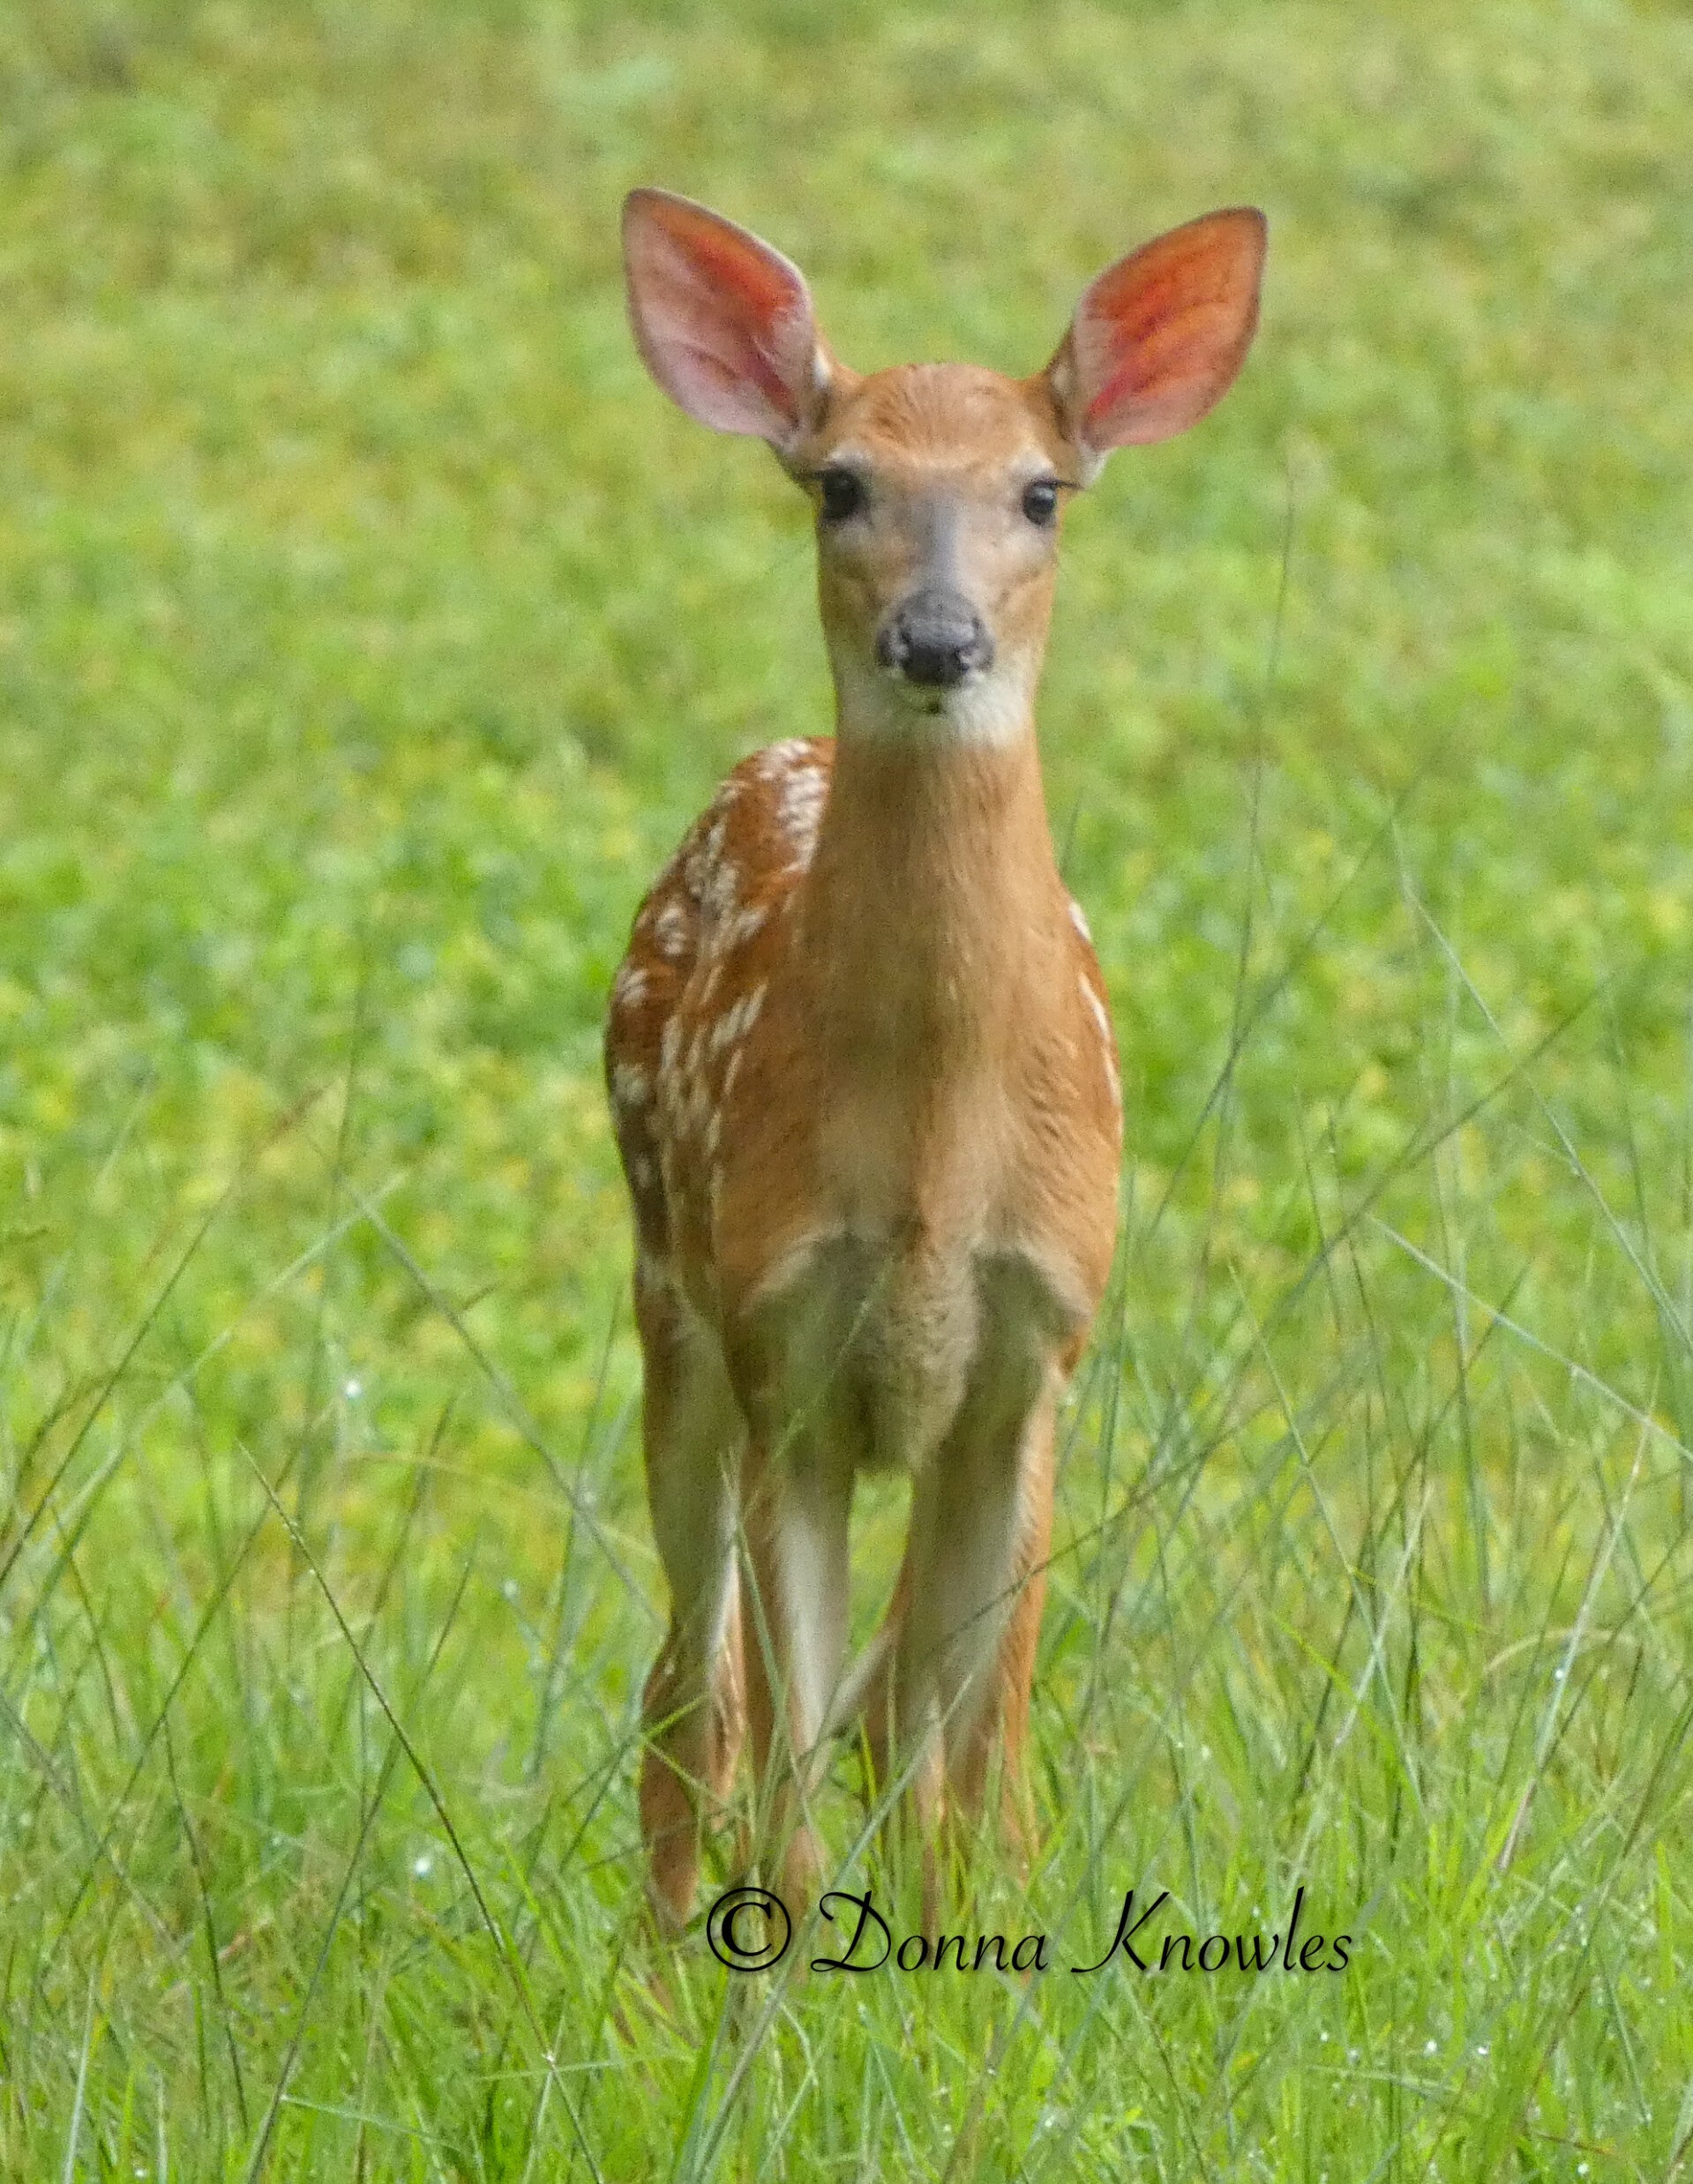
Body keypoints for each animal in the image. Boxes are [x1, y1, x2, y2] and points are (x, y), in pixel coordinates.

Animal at [606, 185, 1266, 1929]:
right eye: (839, 482)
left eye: (1038, 491)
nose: (936, 635)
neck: (930, 1158)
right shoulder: (782, 1348)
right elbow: (786, 1789)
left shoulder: (1032, 1355)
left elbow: (978, 1788)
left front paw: (973, 1964)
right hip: (668, 1310)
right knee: (687, 1698)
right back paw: (654, 1961)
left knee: (883, 1712)